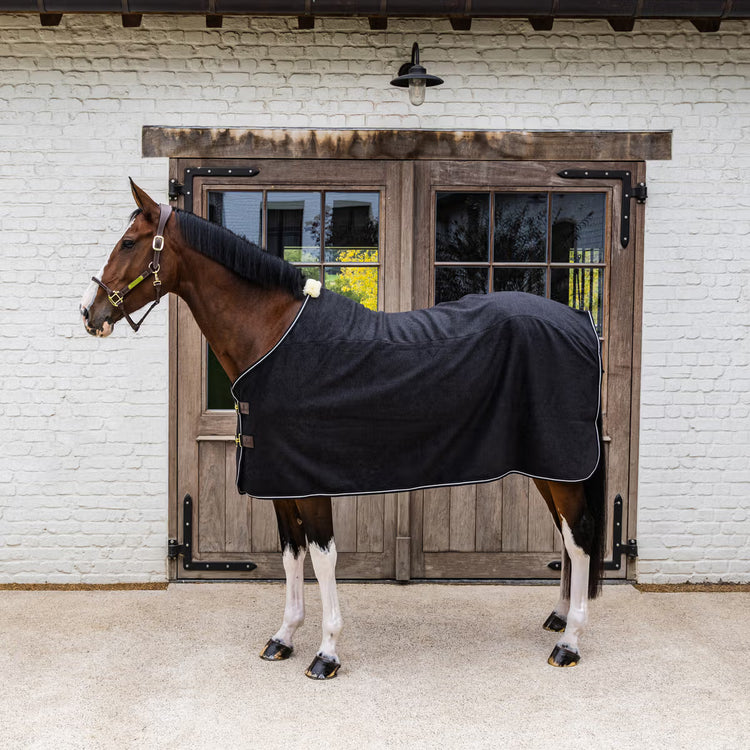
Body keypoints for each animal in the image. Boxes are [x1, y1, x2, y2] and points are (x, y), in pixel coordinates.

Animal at [80, 180, 606, 678]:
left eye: (128, 243)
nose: (90, 313)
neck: (272, 335)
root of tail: (580, 321)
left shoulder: (310, 484)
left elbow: (323, 557)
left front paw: (326, 653)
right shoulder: (281, 481)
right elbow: (291, 555)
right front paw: (284, 637)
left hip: (560, 466)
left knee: (579, 538)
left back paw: (569, 643)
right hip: (548, 468)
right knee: (566, 537)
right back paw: (559, 617)